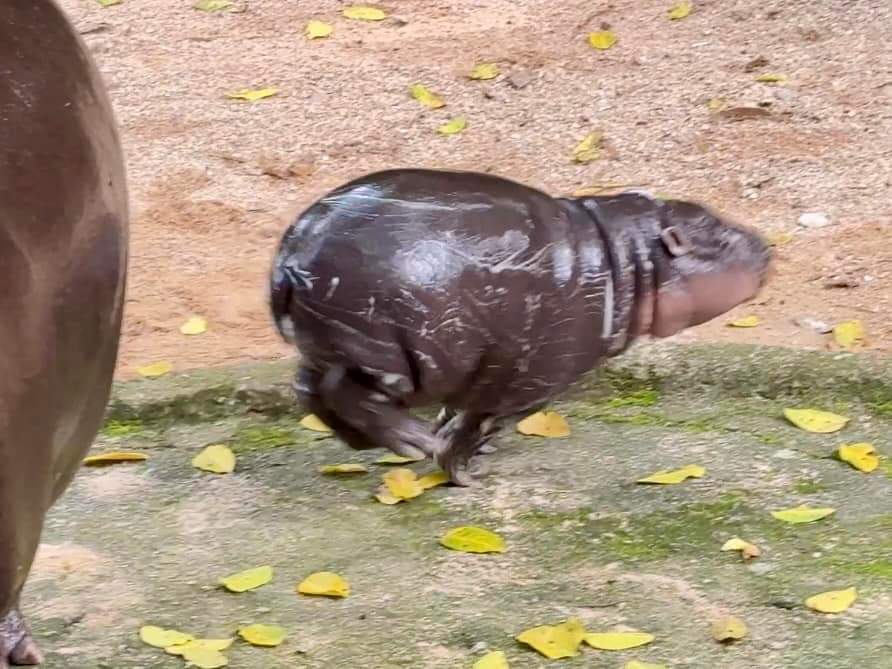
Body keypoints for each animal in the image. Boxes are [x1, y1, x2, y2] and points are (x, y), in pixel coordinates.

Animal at [269, 168, 770, 485]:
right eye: (720, 237)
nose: (766, 245)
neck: (629, 258)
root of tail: (294, 252)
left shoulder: (480, 372)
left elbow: (459, 414)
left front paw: (465, 447)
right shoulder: (528, 385)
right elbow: (476, 426)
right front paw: (465, 471)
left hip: (329, 343)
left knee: (309, 388)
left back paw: (375, 443)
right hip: (385, 355)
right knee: (340, 391)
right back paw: (412, 442)